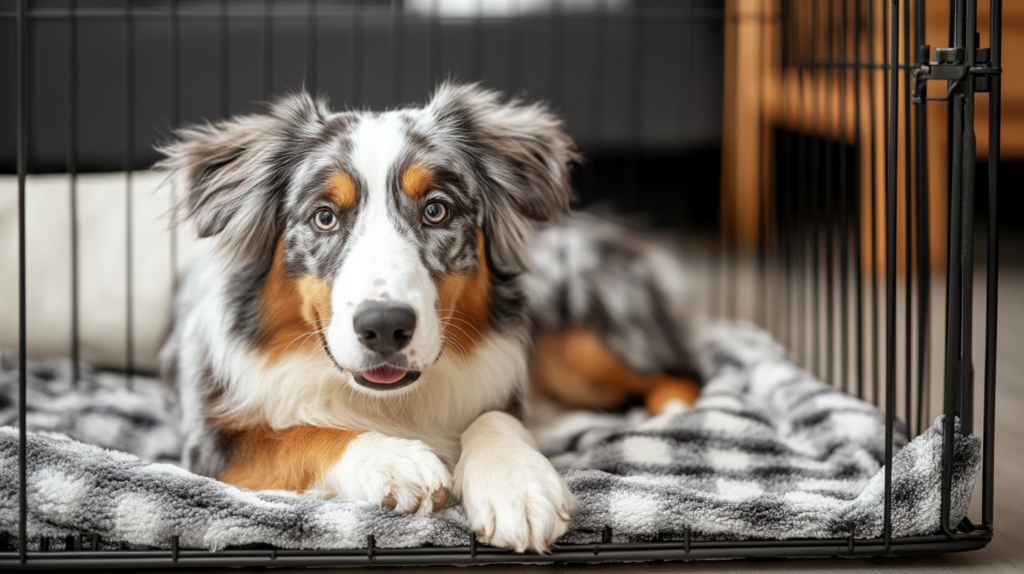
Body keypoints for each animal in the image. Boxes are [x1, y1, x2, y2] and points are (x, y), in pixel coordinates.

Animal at [159, 82, 700, 552]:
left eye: (436, 210)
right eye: (324, 217)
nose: (383, 326)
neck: (390, 402)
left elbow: (493, 414)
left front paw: (518, 482)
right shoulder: (209, 447)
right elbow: (295, 436)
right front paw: (393, 461)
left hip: (584, 348)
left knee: (684, 372)